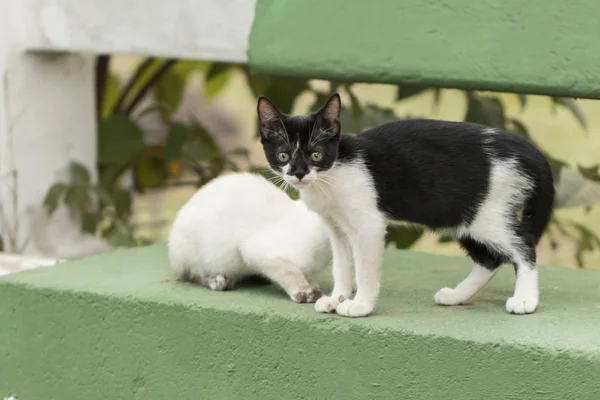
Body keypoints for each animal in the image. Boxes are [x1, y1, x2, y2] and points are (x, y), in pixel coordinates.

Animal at [166, 173, 330, 304]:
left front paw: (313, 287)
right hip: (190, 247)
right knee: (190, 275)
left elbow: (305, 275)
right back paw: (219, 281)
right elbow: (291, 273)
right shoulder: (258, 253)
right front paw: (306, 292)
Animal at [255, 94, 556, 318]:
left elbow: (364, 269)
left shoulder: (369, 226)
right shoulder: (336, 227)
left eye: (316, 155)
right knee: (488, 259)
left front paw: (360, 305)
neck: (332, 174)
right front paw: (337, 297)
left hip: (487, 214)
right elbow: (342, 264)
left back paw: (526, 299)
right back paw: (456, 295)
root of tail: (521, 147)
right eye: (283, 155)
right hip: (462, 215)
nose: (298, 174)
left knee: (523, 247)